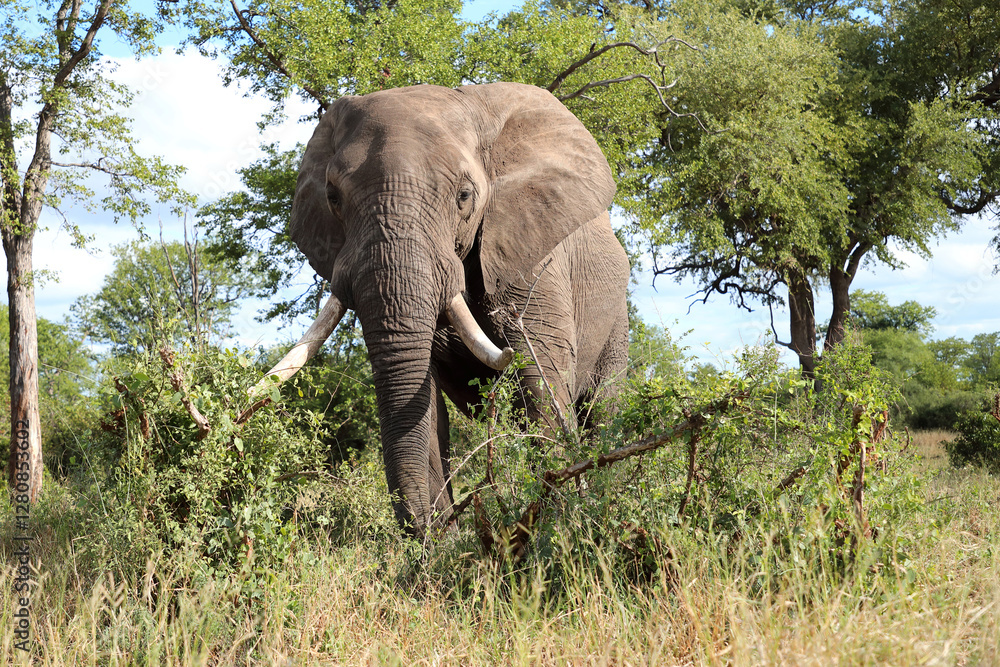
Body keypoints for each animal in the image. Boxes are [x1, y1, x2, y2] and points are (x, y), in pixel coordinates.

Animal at [260, 82, 630, 537]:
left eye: (464, 196)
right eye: (332, 197)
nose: (425, 531)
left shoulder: (533, 258)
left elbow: (541, 374)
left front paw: (551, 523)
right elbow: (426, 399)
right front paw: (444, 548)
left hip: (617, 316)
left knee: (602, 407)